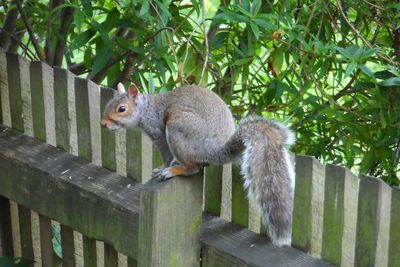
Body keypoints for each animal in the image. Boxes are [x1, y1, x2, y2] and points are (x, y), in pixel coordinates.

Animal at [101, 83, 296, 247]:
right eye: (108, 104)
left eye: (121, 109)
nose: (103, 124)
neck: (146, 109)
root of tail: (215, 150)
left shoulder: (158, 132)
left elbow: (166, 155)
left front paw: (163, 168)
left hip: (177, 130)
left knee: (193, 168)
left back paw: (174, 170)